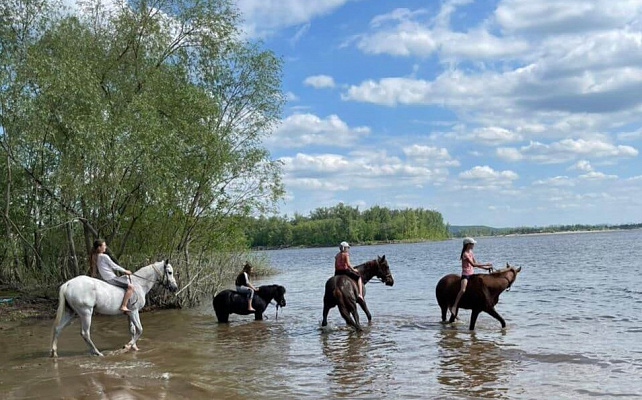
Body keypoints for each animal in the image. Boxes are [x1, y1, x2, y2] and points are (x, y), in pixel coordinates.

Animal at [50, 260, 178, 358]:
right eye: (170, 272)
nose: (175, 288)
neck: (139, 284)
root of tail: (68, 284)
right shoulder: (134, 312)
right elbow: (140, 329)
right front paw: (127, 346)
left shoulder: (129, 314)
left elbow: (132, 330)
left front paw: (134, 347)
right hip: (86, 313)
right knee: (85, 333)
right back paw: (97, 352)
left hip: (70, 312)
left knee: (57, 328)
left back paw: (54, 353)